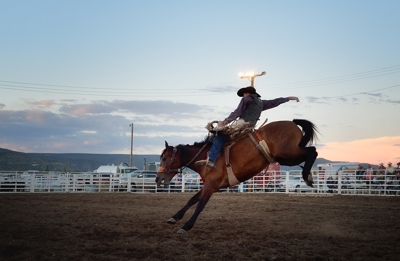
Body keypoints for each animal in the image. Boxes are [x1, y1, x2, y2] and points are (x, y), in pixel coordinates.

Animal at [155, 119, 318, 233]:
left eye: (165, 158)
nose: (158, 179)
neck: (206, 158)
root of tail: (292, 122)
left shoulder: (211, 186)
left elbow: (200, 205)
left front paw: (186, 226)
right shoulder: (209, 184)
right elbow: (192, 200)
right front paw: (174, 217)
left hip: (289, 153)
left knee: (313, 151)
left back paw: (307, 177)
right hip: (286, 158)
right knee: (311, 152)